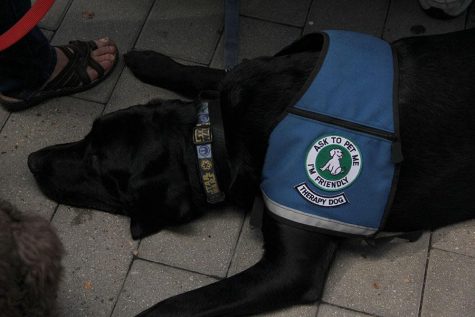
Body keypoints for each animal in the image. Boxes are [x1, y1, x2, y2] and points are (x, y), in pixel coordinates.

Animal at [27, 28, 475, 314]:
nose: (31, 162)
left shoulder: (291, 267)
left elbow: (174, 306)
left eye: (98, 164)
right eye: (89, 132)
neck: (218, 137)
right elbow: (205, 74)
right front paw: (151, 61)